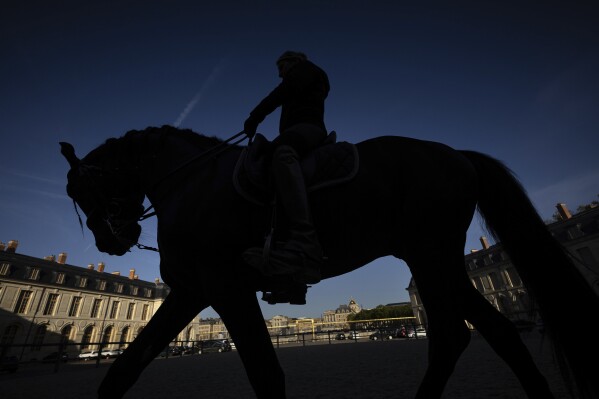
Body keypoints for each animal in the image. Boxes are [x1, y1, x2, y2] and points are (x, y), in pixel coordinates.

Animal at [58, 126, 596, 399]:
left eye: (82, 188)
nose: (111, 241)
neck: (191, 184)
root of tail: (458, 154)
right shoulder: (193, 290)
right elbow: (123, 370)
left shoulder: (227, 286)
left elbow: (267, 375)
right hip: (438, 260)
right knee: (494, 332)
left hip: (429, 256)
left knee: (451, 336)